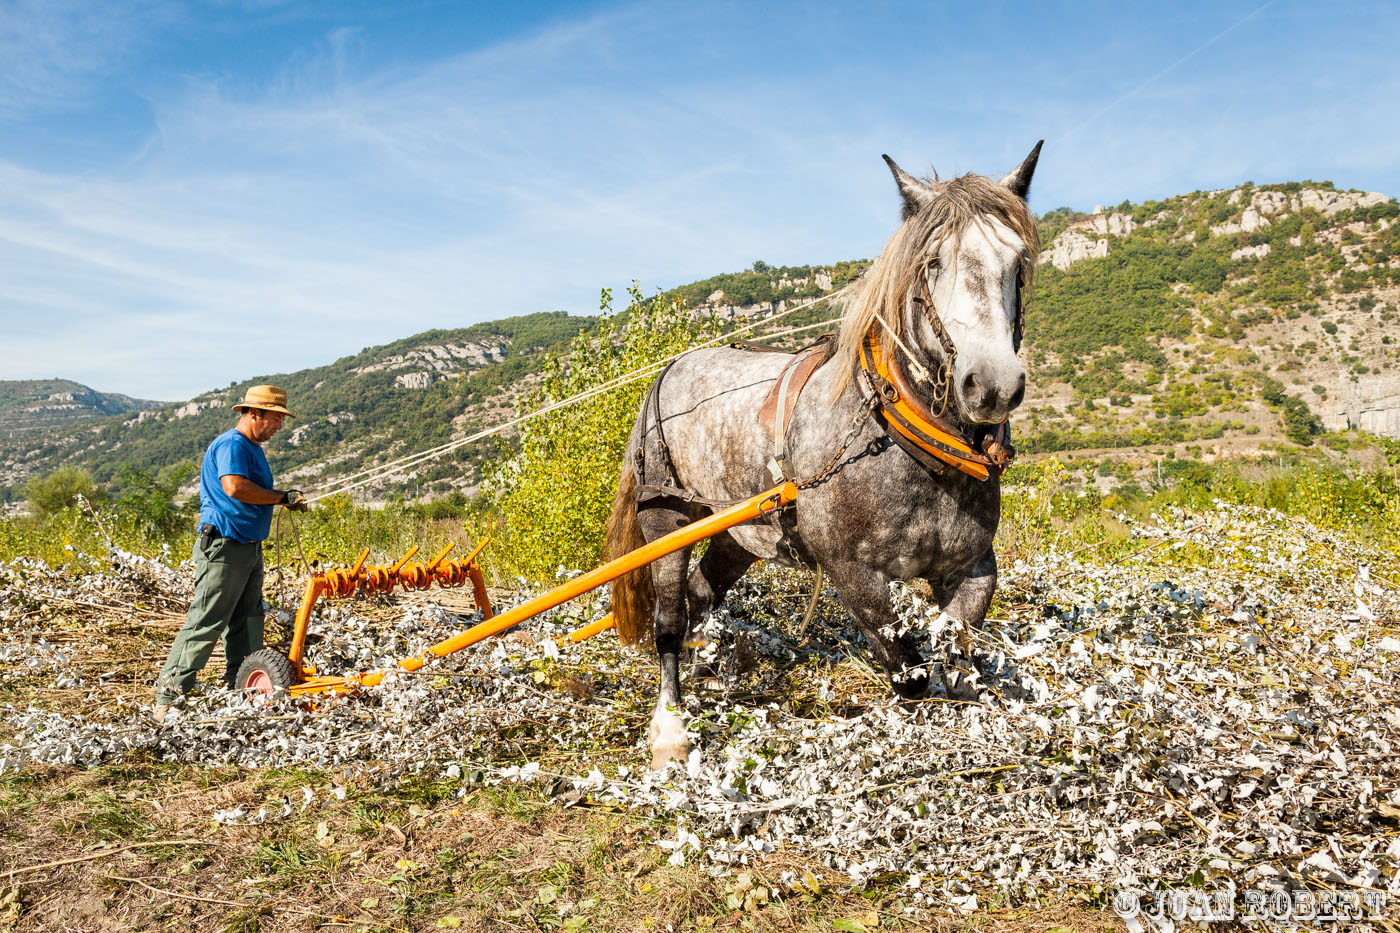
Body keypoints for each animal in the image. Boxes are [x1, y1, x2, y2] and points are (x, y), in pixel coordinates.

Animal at [607, 140, 1047, 762]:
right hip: (666, 520)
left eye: (1018, 263)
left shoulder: (972, 569)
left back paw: (711, 672)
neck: (913, 450)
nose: (992, 386)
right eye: (932, 263)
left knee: (702, 594)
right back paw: (671, 725)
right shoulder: (853, 574)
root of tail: (669, 370)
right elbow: (910, 675)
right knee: (670, 613)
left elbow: (959, 663)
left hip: (742, 533)